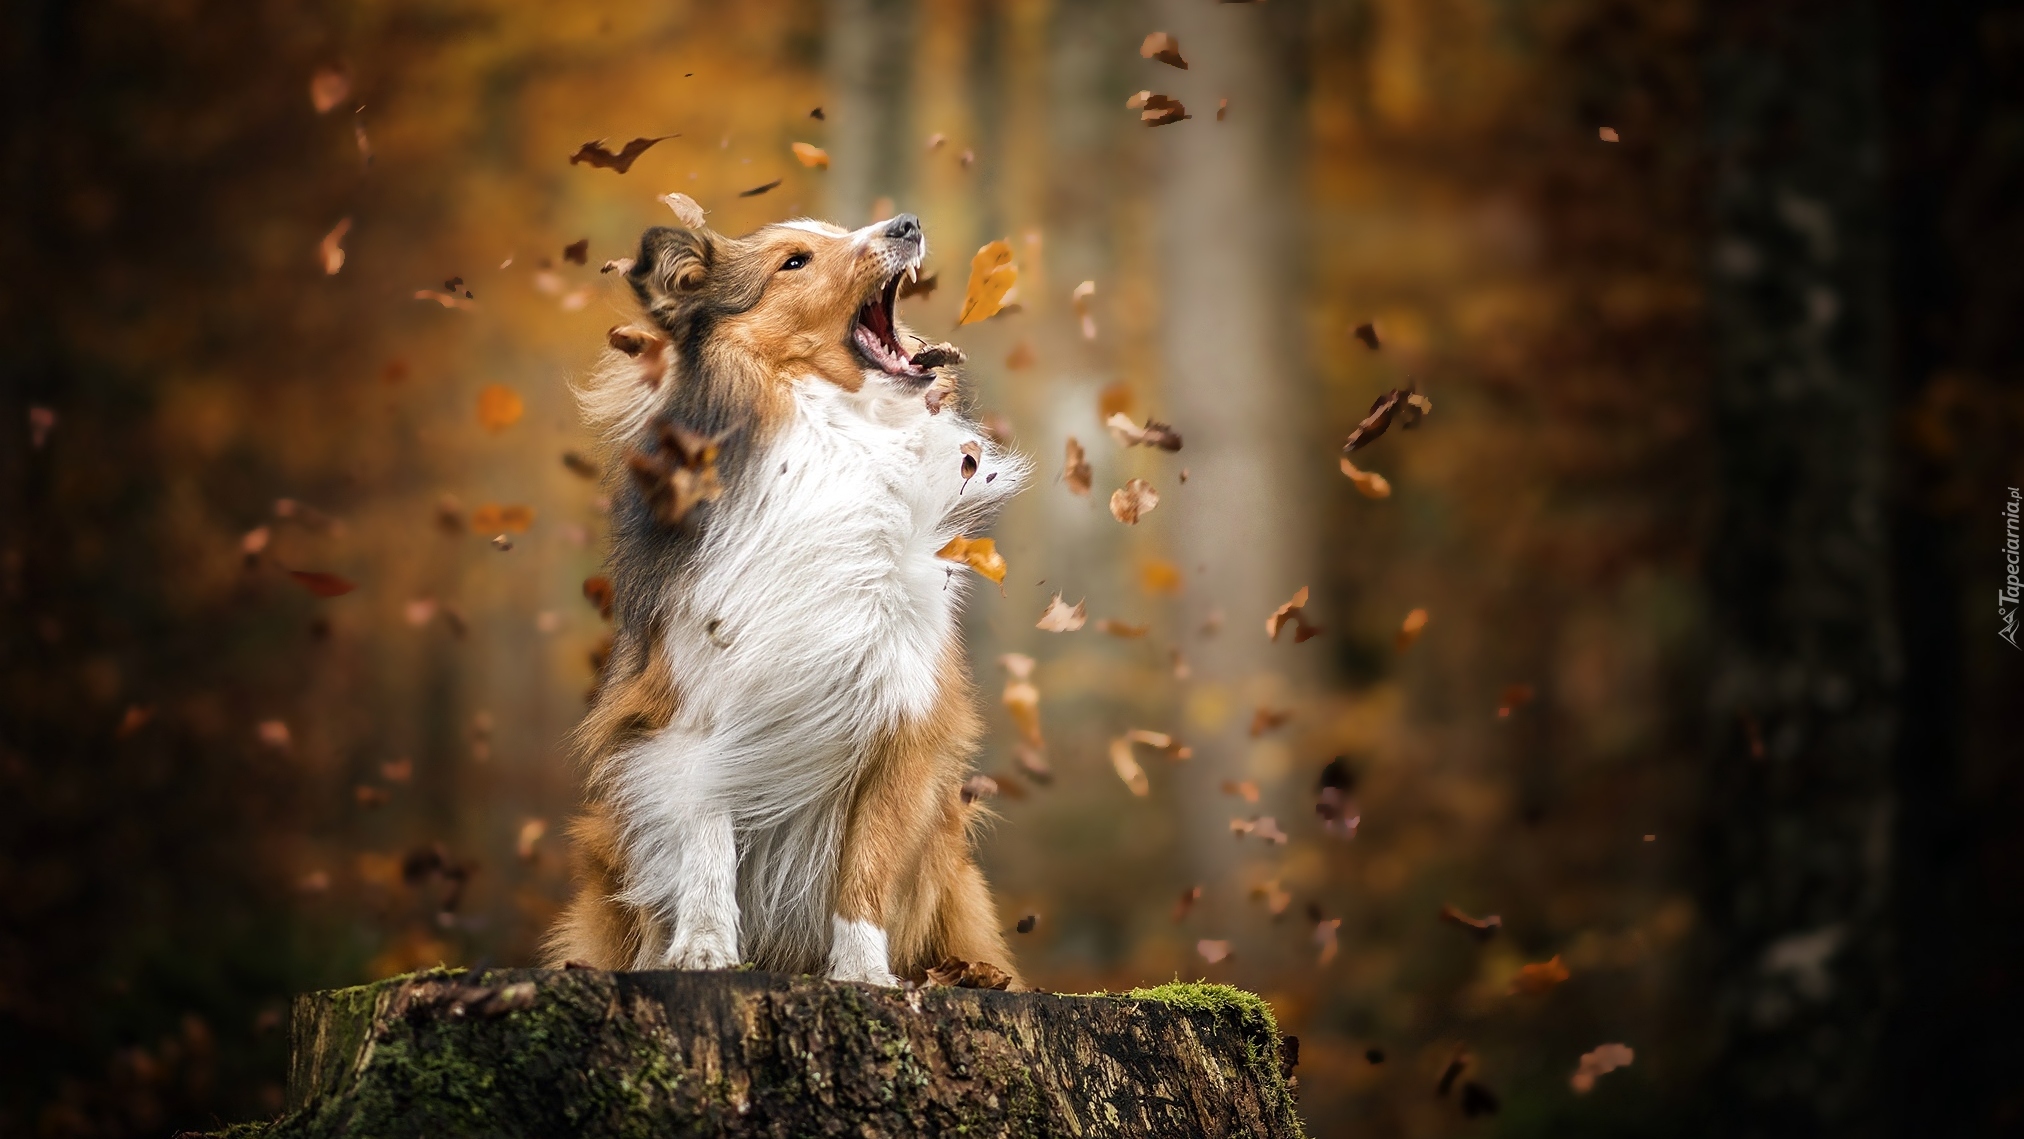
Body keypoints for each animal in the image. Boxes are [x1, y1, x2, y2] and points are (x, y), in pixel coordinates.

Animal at [542, 214, 1028, 991]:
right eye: (794, 261)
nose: (906, 224)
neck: (834, 441)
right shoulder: (696, 713)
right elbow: (706, 839)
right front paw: (703, 948)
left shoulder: (900, 718)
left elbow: (866, 867)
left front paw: (864, 974)